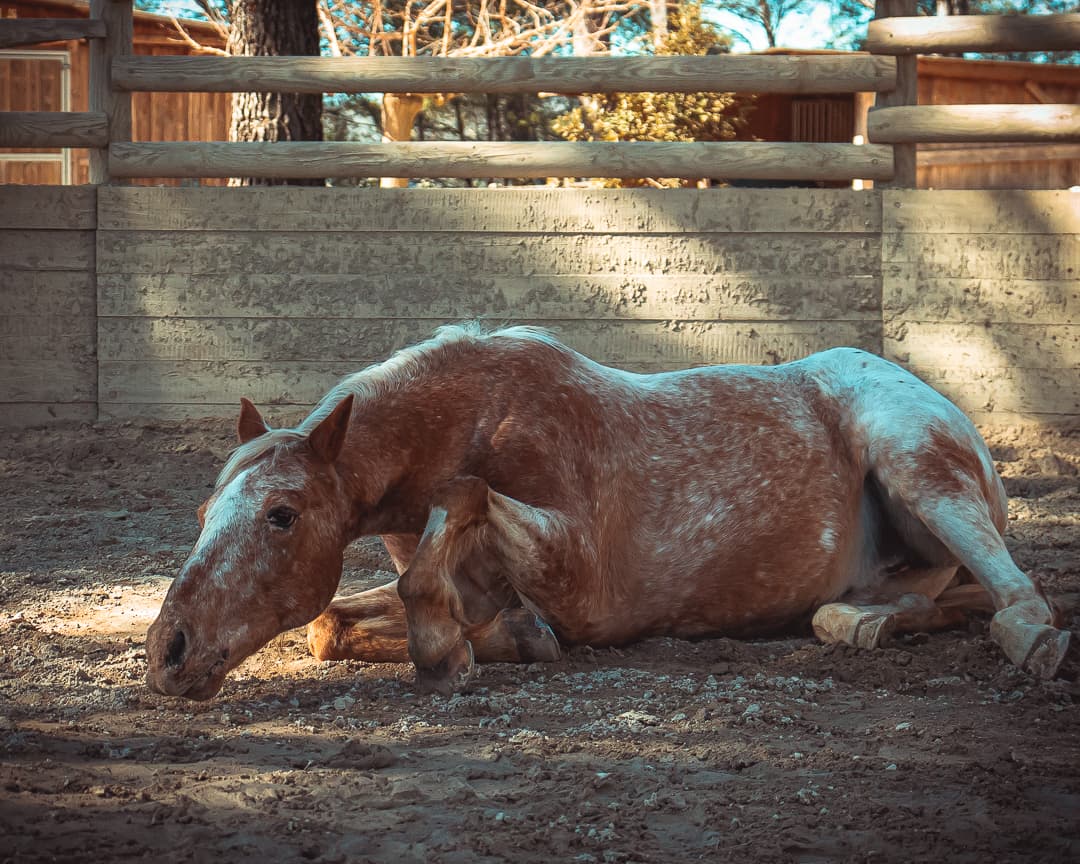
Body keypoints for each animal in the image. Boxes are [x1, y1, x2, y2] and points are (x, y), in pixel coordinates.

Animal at [145, 325, 1069, 700]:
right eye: (204, 510)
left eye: (282, 515)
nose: (167, 653)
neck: (476, 417)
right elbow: (328, 625)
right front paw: (488, 635)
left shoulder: (586, 581)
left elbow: (465, 499)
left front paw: (452, 649)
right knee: (921, 599)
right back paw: (859, 620)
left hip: (919, 467)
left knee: (1019, 599)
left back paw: (1019, 640)